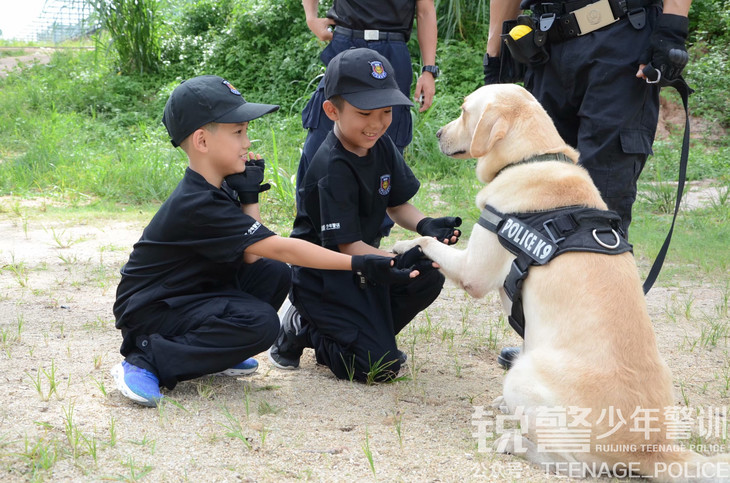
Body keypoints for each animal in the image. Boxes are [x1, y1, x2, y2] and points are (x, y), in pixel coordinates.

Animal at [393, 84, 729, 482]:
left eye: (463, 111)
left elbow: (427, 242)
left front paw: (403, 244)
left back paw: (516, 442)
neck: (530, 160)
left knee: (571, 463)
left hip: (522, 377)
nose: (437, 133)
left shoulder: (474, 271)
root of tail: (653, 447)